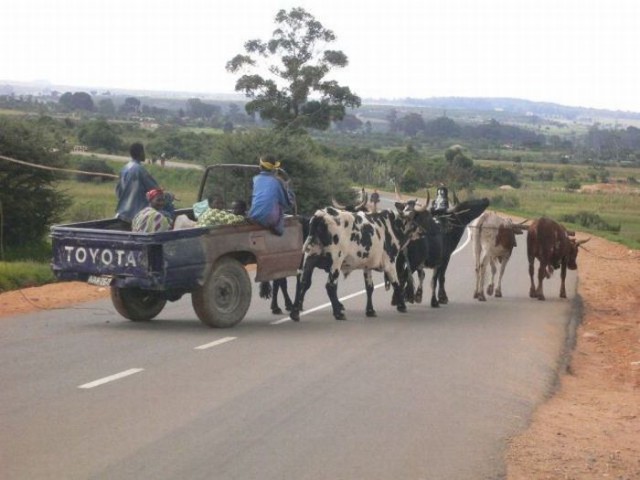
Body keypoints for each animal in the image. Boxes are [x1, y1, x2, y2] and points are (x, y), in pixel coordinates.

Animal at [292, 201, 436, 320]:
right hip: (336, 261)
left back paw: (295, 313)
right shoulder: (389, 263)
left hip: (309, 259)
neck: (391, 225)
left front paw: (370, 310)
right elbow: (396, 283)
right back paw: (338, 313)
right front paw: (401, 305)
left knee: (303, 283)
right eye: (418, 216)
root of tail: (321, 215)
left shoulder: (367, 266)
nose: (424, 231)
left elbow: (369, 288)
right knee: (330, 286)